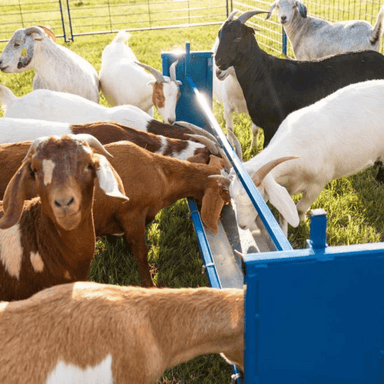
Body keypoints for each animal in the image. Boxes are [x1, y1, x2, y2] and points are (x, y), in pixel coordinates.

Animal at [0, 140, 230, 286]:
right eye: (225, 192)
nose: (227, 208)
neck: (161, 173)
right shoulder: (132, 215)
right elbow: (141, 253)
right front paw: (150, 284)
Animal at [220, 80, 384, 236]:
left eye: (257, 202)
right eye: (232, 195)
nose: (242, 226)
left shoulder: (318, 185)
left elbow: (299, 209)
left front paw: (301, 221)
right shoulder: (285, 185)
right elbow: (283, 216)